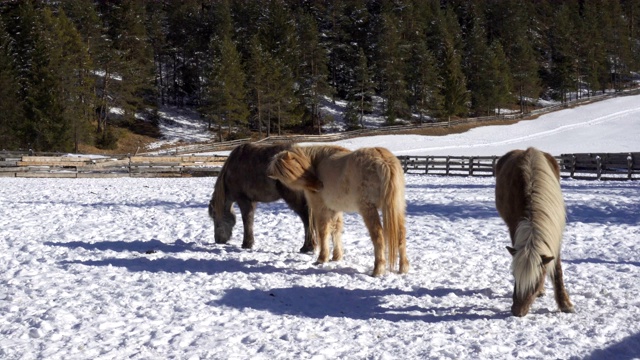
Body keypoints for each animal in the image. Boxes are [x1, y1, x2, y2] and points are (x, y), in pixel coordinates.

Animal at [266, 145, 410, 278]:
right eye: (287, 176)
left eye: (297, 167)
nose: (319, 185)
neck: (316, 163)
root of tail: (383, 159)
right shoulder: (335, 209)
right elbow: (336, 230)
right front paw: (336, 257)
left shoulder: (320, 208)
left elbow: (323, 232)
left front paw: (322, 258)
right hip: (396, 207)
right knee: (401, 234)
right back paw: (403, 268)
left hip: (368, 209)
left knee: (378, 236)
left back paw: (377, 270)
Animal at [496, 146, 576, 316]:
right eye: (514, 275)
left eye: (537, 280)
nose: (517, 312)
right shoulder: (514, 227)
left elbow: (557, 268)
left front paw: (565, 303)